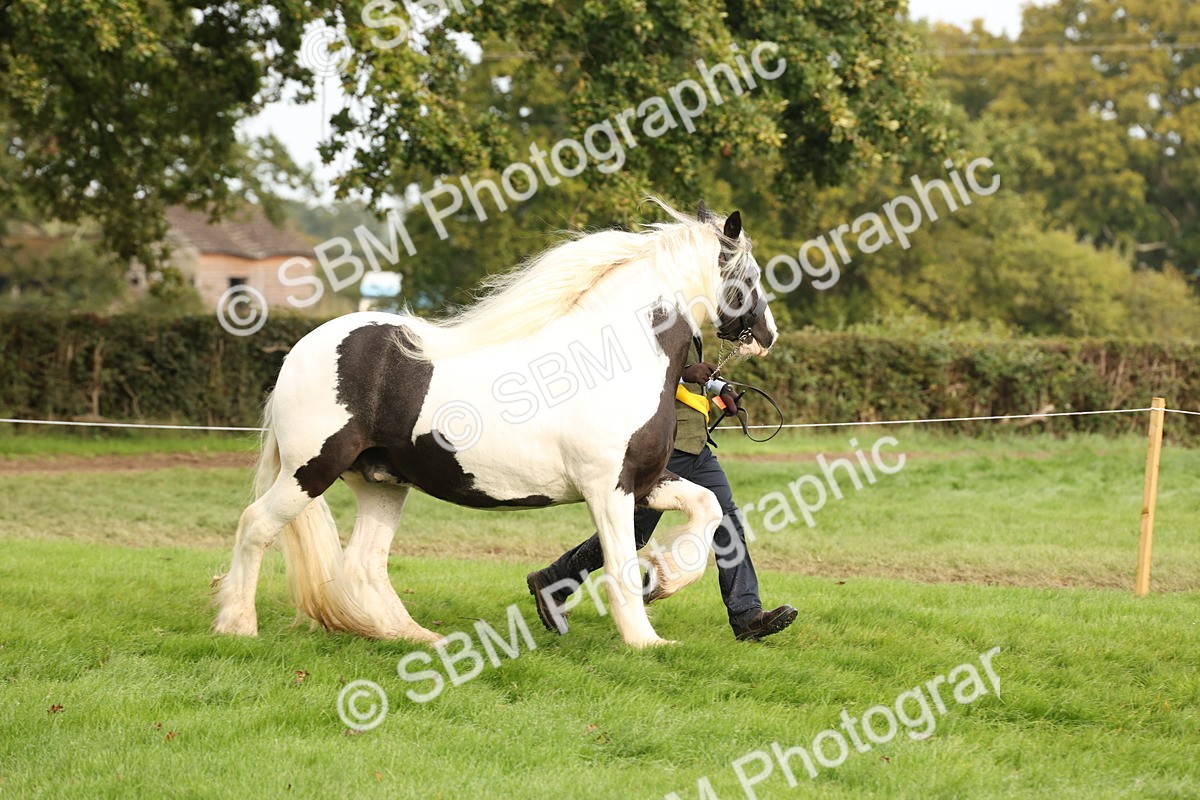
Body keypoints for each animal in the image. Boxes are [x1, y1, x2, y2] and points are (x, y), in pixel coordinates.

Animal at [212, 199, 778, 648]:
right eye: (750, 277)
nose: (767, 336)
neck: (611, 359)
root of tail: (302, 350)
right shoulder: (608, 487)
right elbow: (618, 561)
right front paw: (646, 641)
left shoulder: (644, 479)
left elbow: (707, 508)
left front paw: (662, 580)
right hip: (312, 468)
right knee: (256, 525)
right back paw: (237, 626)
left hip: (382, 483)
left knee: (364, 563)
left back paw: (415, 637)